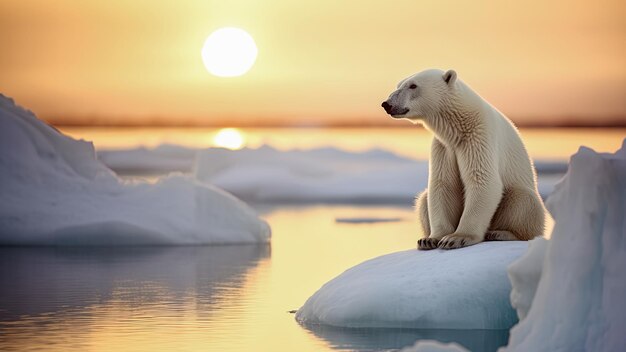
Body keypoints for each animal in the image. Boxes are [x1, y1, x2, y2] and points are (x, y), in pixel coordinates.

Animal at [378, 69, 544, 249]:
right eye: (398, 85)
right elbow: (442, 185)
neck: (460, 124)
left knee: (523, 200)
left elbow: (482, 180)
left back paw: (501, 233)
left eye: (413, 85)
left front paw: (456, 238)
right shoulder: (444, 147)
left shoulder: (478, 137)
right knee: (423, 199)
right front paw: (432, 239)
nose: (387, 104)